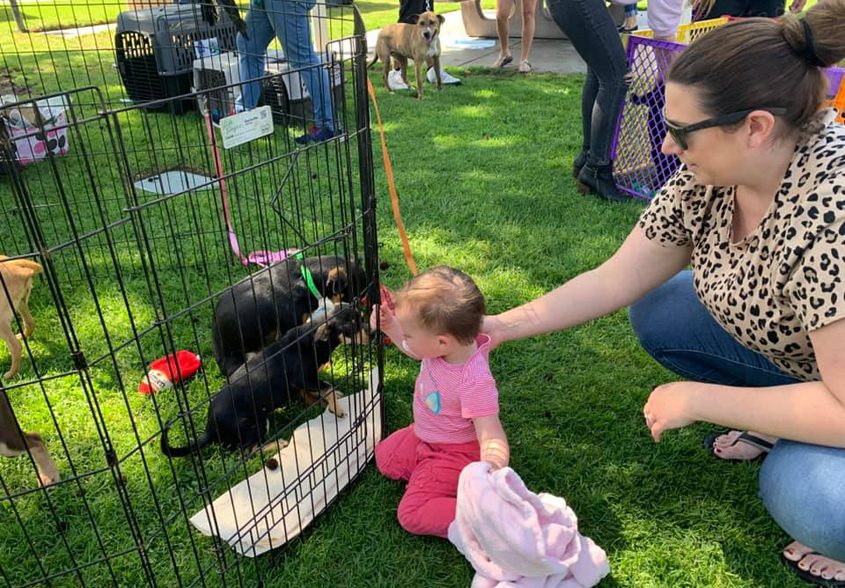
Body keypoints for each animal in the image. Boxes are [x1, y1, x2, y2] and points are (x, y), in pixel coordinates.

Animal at [160, 304, 368, 460]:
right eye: (352, 327)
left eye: (362, 317)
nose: (373, 332)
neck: (315, 338)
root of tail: (211, 428)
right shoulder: (304, 378)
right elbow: (328, 388)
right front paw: (337, 408)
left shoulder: (303, 383)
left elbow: (316, 392)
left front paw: (321, 402)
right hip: (256, 424)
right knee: (247, 452)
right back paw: (277, 444)